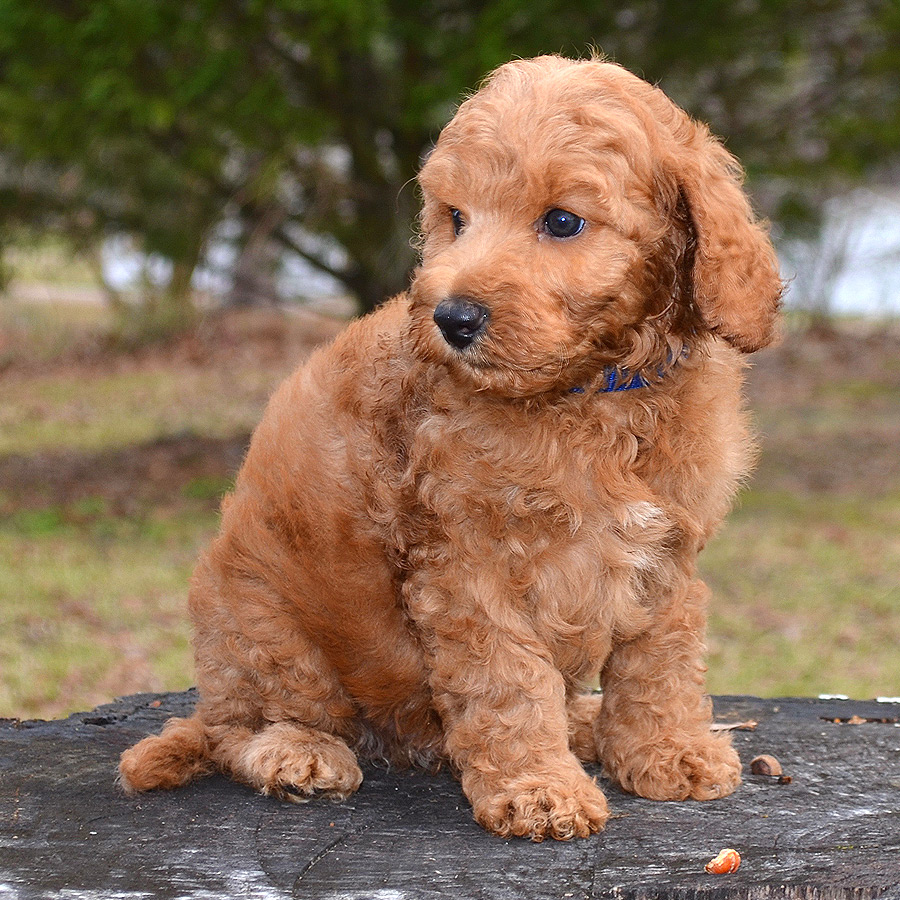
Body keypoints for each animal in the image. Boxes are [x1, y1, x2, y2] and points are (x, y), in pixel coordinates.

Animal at [118, 54, 780, 844]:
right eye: (456, 219)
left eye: (562, 222)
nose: (451, 318)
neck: (595, 393)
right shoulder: (469, 564)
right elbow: (508, 680)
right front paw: (537, 789)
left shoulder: (669, 551)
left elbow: (660, 658)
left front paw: (665, 750)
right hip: (265, 628)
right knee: (238, 728)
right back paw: (299, 754)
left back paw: (582, 724)